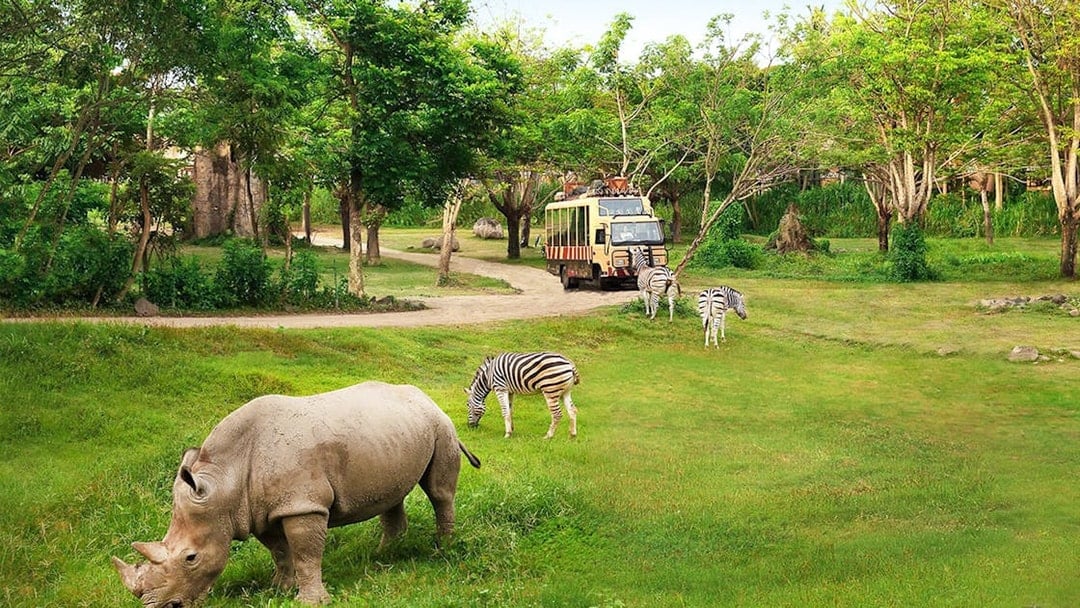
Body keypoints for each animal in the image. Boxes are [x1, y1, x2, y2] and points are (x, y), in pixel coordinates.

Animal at [112, 381, 481, 607]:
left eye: (191, 558)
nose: (162, 606)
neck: (226, 478)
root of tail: (426, 397)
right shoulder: (260, 509)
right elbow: (279, 550)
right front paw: (279, 588)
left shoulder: (304, 505)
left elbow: (306, 552)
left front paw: (311, 601)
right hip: (396, 432)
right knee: (393, 494)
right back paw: (386, 554)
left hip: (441, 426)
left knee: (439, 492)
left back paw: (443, 549)